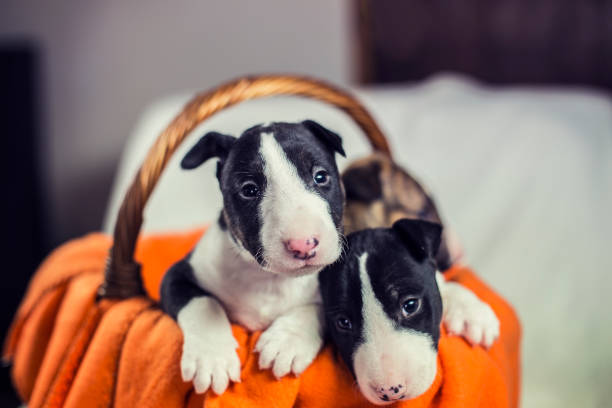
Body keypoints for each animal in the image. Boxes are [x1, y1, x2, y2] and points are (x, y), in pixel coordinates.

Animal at [160, 121, 346, 396]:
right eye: (249, 190)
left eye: (320, 176)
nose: (303, 244)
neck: (269, 278)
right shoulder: (177, 274)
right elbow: (204, 303)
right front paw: (212, 359)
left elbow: (321, 307)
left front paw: (286, 342)